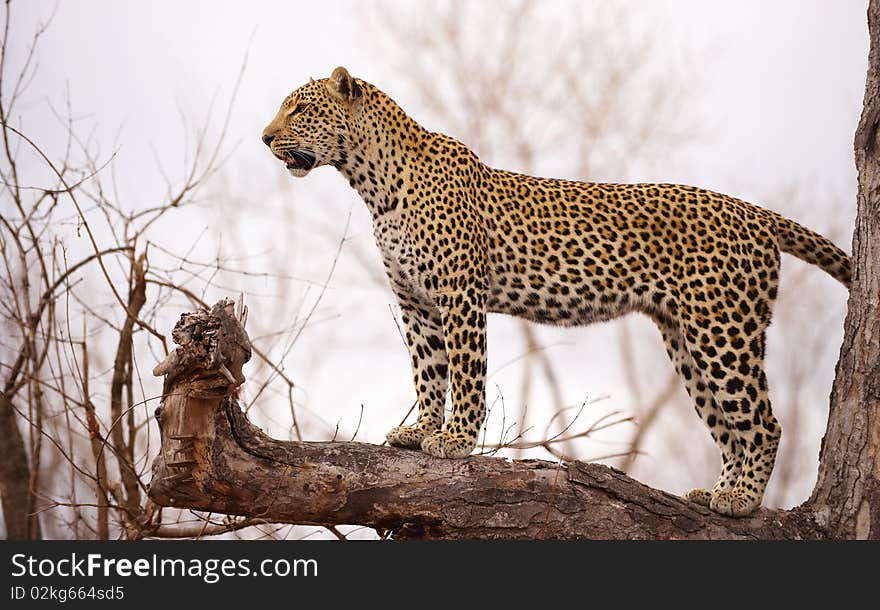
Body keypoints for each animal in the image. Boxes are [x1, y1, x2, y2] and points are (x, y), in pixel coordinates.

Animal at [262, 65, 852, 512]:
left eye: (299, 109)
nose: (265, 137)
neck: (371, 182)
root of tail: (755, 212)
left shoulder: (460, 294)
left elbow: (465, 373)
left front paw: (455, 440)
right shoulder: (415, 302)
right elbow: (428, 373)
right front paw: (419, 430)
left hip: (722, 329)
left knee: (764, 422)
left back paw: (743, 499)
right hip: (686, 339)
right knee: (729, 426)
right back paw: (717, 492)